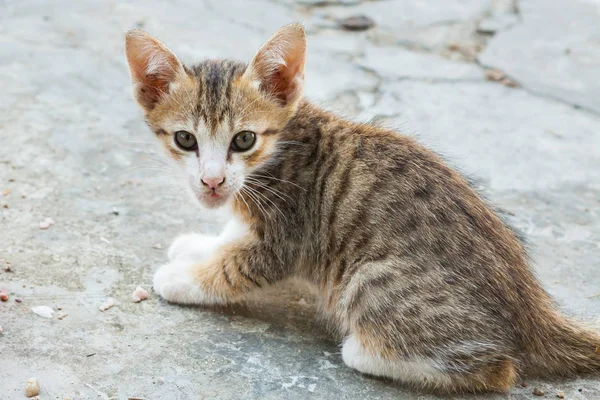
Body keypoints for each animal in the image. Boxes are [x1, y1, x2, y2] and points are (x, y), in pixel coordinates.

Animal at [125, 22, 600, 394]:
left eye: (244, 139)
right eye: (185, 139)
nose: (212, 180)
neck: (285, 145)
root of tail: (531, 308)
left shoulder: (286, 234)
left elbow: (234, 268)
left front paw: (180, 278)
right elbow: (230, 241)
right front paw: (199, 245)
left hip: (371, 280)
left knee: (499, 370)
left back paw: (363, 351)